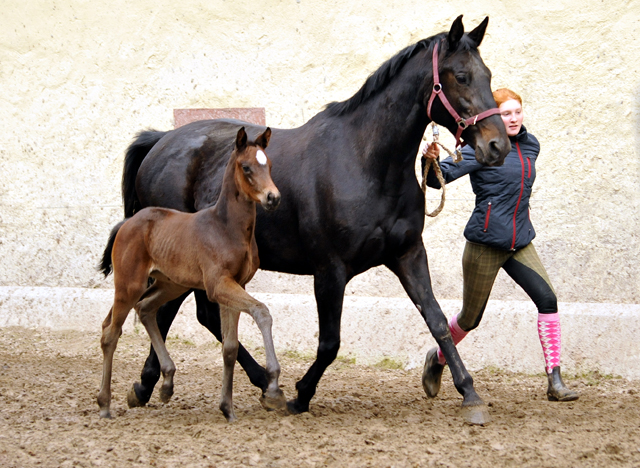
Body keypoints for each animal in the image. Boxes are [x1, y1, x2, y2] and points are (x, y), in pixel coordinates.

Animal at [96, 127, 284, 420]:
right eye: (246, 167)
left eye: (270, 165)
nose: (272, 198)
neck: (226, 227)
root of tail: (127, 223)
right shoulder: (219, 286)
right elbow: (261, 311)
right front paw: (273, 388)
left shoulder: (235, 285)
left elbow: (230, 347)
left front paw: (227, 409)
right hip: (129, 284)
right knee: (111, 332)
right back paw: (105, 405)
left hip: (170, 284)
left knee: (145, 309)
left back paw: (166, 383)